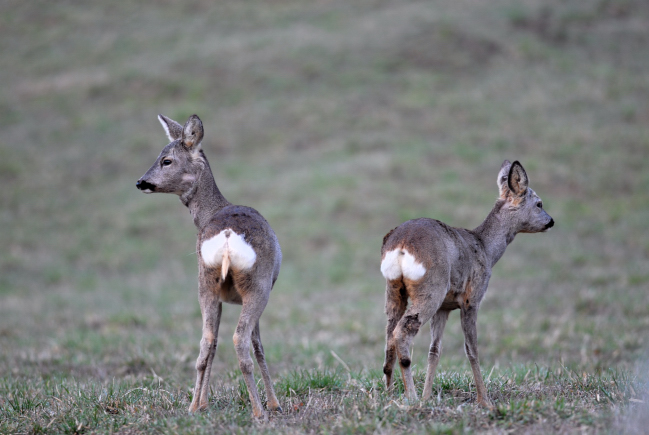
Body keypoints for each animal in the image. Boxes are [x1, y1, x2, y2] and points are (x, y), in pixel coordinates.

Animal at [135, 113, 280, 418]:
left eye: (166, 159)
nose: (141, 182)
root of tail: (226, 237)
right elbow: (259, 345)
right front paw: (275, 403)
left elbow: (212, 346)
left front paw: (202, 403)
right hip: (257, 287)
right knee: (241, 340)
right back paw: (259, 410)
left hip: (205, 283)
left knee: (206, 342)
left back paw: (193, 406)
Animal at [380, 161, 552, 408]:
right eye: (539, 203)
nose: (551, 221)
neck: (486, 248)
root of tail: (402, 245)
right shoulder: (472, 299)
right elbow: (472, 349)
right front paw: (484, 401)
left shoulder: (444, 308)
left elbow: (435, 351)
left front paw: (428, 397)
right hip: (430, 290)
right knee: (403, 330)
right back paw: (411, 397)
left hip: (394, 290)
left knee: (389, 335)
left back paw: (390, 393)